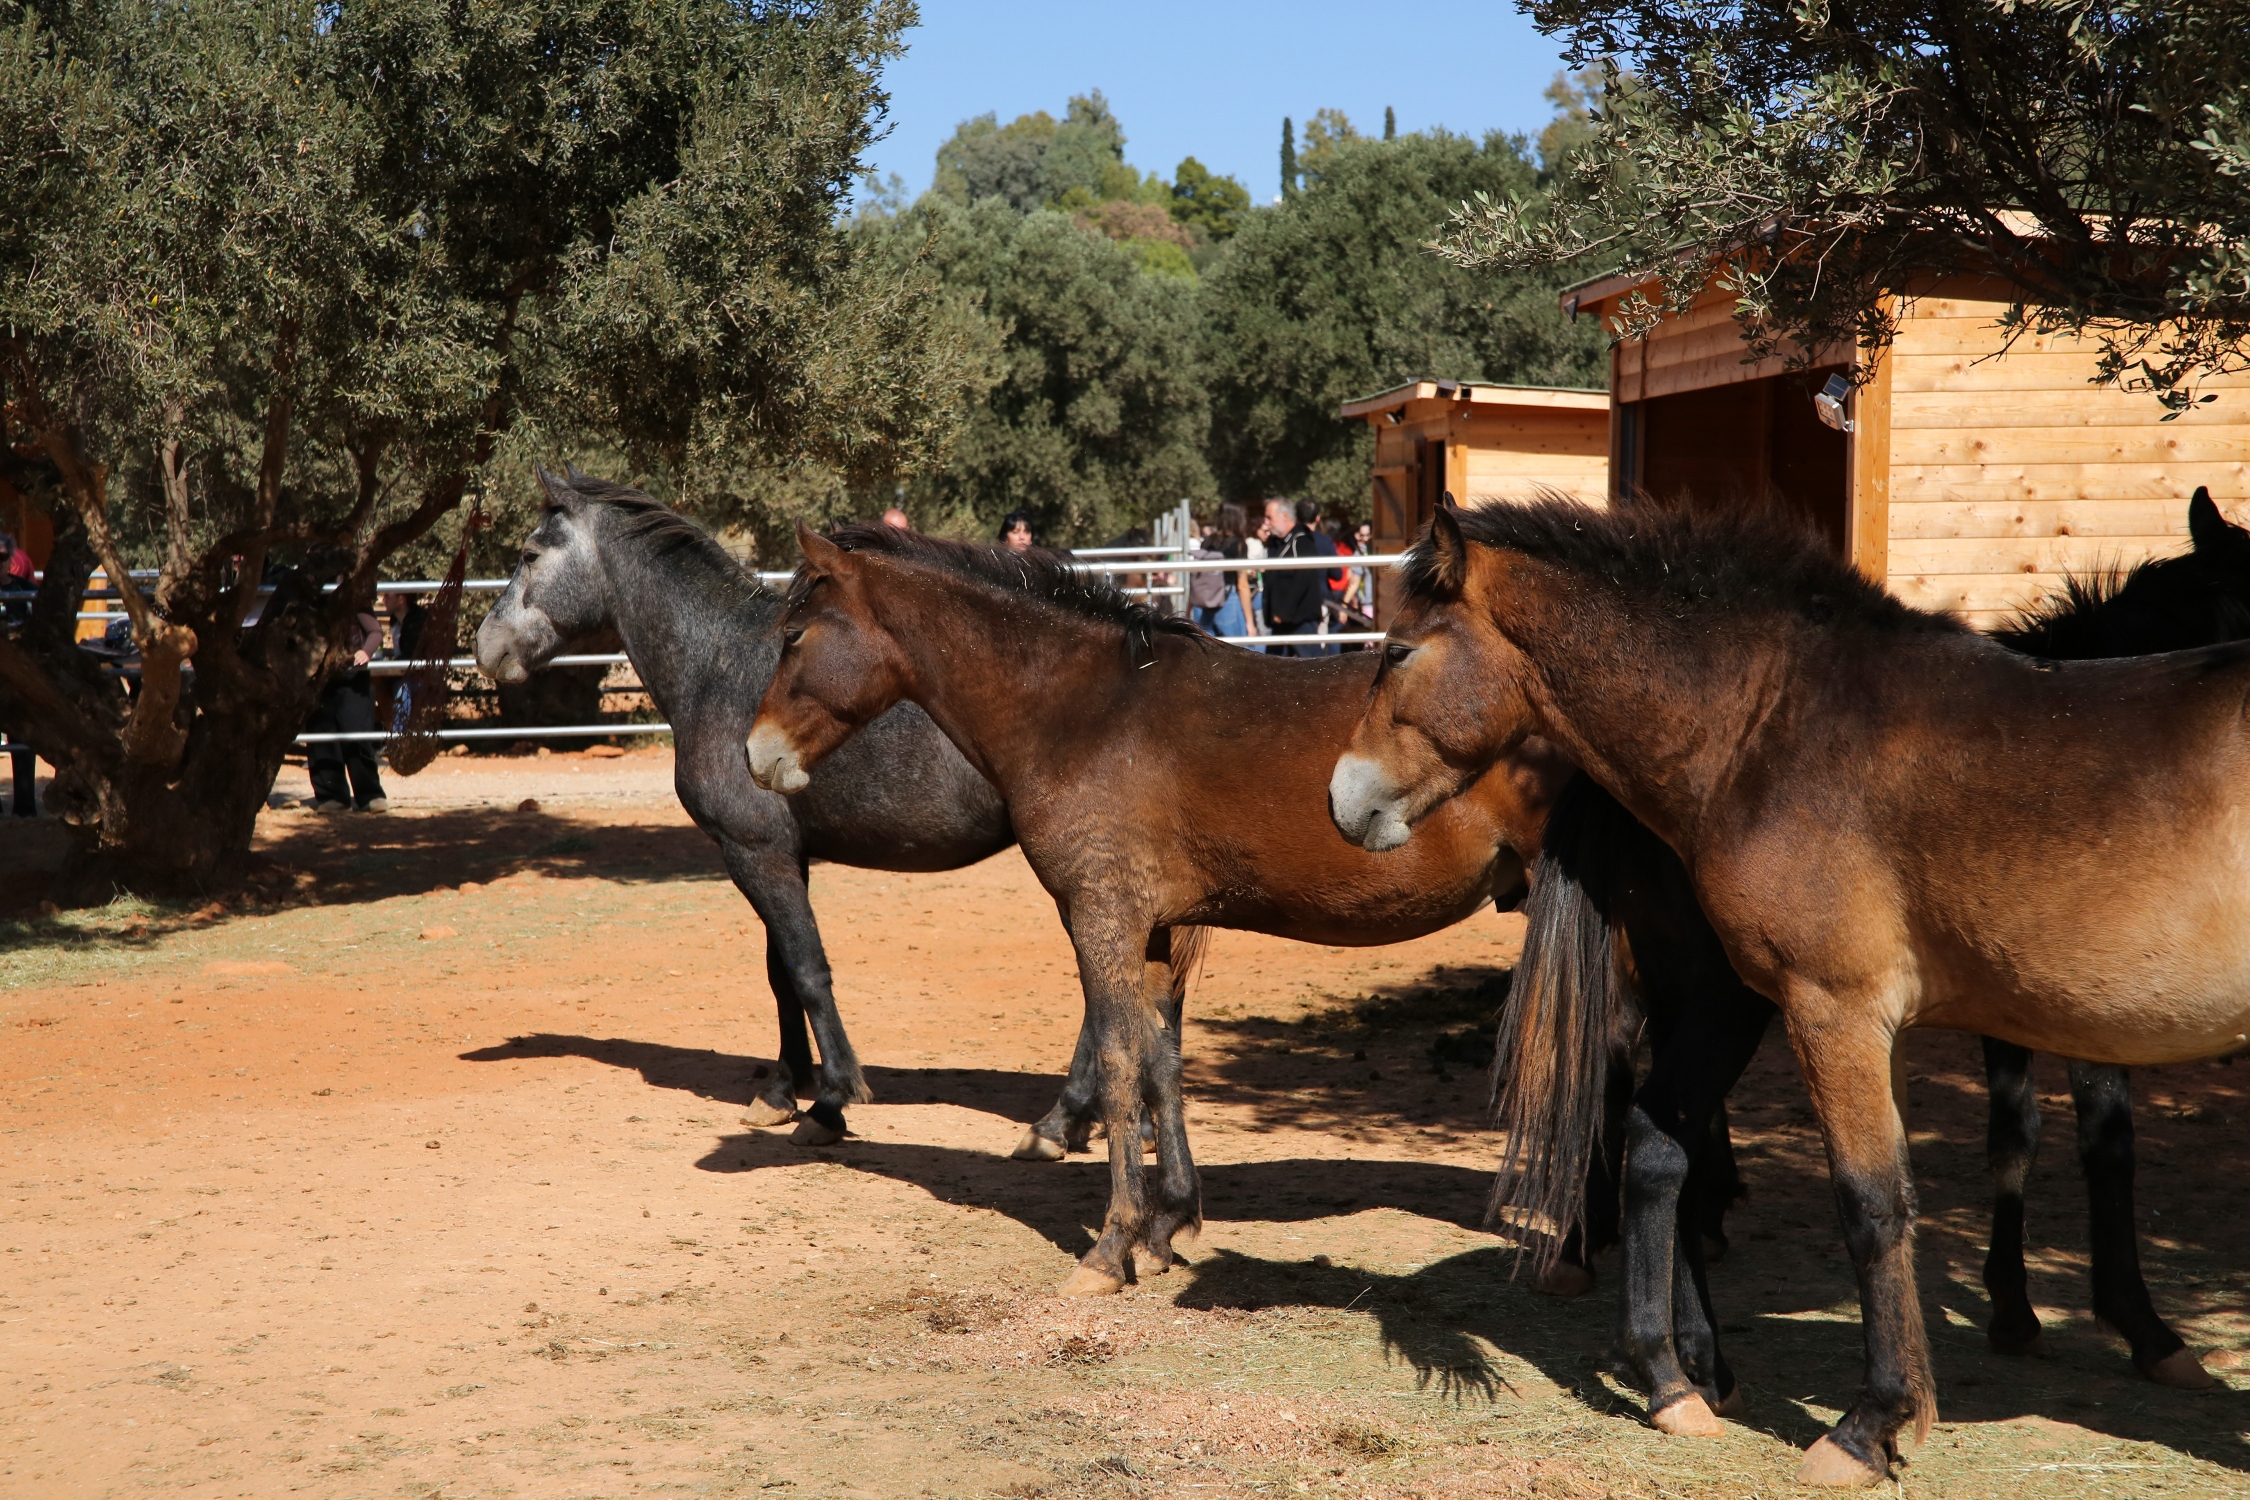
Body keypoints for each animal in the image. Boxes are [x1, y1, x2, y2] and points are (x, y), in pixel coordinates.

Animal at [744, 521, 1566, 1295]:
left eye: (794, 636)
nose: (755, 754)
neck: (1083, 712)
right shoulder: (1158, 929)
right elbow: (1161, 1061)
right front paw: (1170, 1220)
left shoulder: (1101, 915)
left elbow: (1115, 1063)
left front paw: (1112, 1246)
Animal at [1329, 495, 2250, 1486]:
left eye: (1398, 651)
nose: (1343, 799)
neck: (1770, 728)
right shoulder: (1861, 1017)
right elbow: (1909, 1190)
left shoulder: (1841, 1011)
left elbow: (1875, 1202)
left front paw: (1868, 1426)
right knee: (1661, 1146)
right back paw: (1679, 1377)